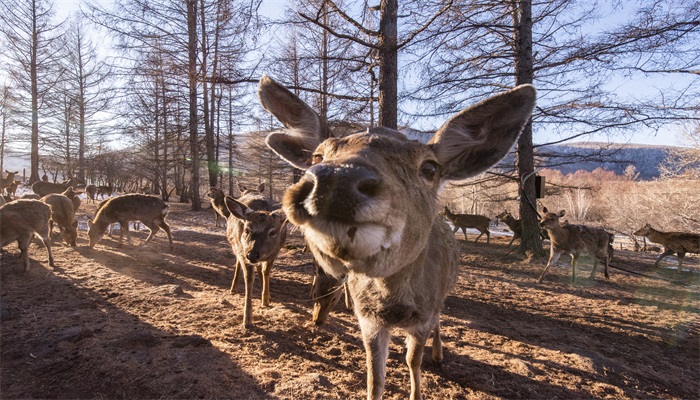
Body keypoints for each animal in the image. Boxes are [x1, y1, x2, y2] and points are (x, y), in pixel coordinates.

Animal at [226, 186, 288, 326]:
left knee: (260, 268)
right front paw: (247, 320)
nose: (252, 254)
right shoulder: (242, 251)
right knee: (238, 263)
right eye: (247, 229)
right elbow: (249, 278)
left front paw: (265, 300)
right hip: (236, 246)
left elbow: (266, 272)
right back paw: (233, 288)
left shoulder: (275, 251)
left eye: (272, 232)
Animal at [258, 75, 536, 400]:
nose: (338, 179)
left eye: (429, 167)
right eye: (318, 155)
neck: (392, 301)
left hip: (442, 296)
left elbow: (413, 361)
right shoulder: (367, 318)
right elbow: (374, 377)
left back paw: (439, 354)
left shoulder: (423, 315)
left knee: (440, 322)